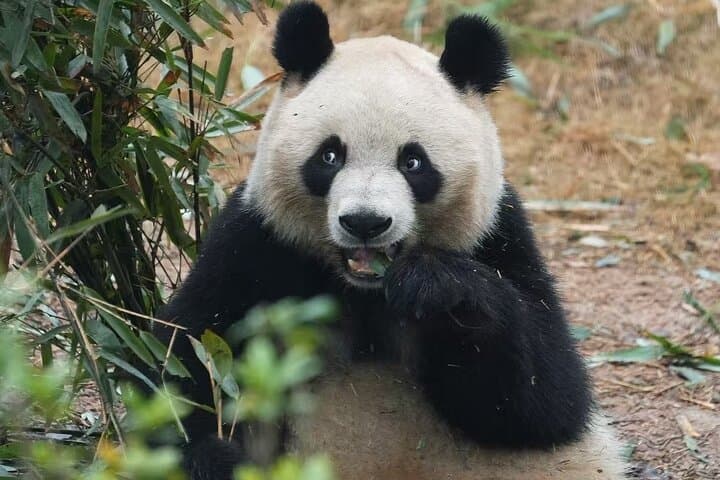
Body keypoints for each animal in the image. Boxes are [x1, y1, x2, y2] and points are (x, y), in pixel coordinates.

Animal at [156, 2, 628, 479]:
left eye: (413, 162)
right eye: (330, 155)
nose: (365, 222)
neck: (365, 291)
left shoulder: (499, 234)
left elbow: (547, 400)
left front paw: (433, 285)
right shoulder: (256, 245)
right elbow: (182, 363)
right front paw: (214, 459)